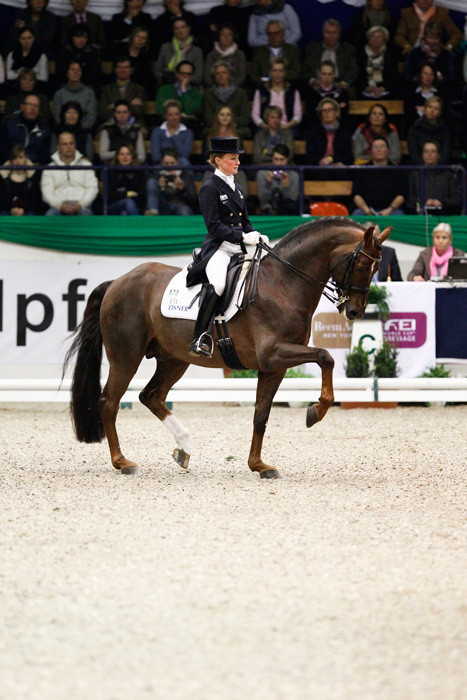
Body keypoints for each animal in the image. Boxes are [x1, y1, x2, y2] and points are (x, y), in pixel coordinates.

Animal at [63, 220, 392, 482]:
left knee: (151, 396)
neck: (284, 284)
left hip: (174, 359)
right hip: (126, 356)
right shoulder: (274, 353)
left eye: (377, 267)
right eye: (361, 265)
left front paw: (259, 465)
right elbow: (326, 356)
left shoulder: (274, 366)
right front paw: (316, 411)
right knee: (109, 402)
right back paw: (123, 462)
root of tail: (117, 282)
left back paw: (183, 449)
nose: (354, 311)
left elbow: (261, 415)